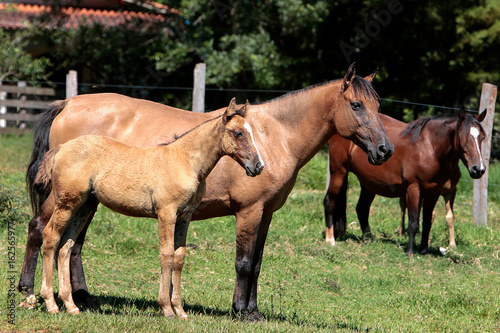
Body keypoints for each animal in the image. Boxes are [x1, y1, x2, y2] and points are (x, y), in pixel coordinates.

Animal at [34, 98, 266, 316]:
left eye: (252, 132)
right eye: (238, 133)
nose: (258, 166)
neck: (185, 161)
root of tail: (61, 148)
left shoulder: (185, 217)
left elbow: (179, 258)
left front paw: (180, 311)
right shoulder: (166, 213)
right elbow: (166, 256)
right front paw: (167, 309)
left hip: (84, 206)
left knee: (66, 246)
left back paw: (71, 305)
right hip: (66, 202)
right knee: (50, 237)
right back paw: (51, 303)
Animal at [322, 110, 486, 255]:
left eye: (482, 138)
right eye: (463, 138)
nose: (479, 169)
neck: (429, 148)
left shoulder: (433, 193)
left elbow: (427, 221)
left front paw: (424, 250)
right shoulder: (413, 189)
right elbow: (413, 222)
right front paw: (410, 251)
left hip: (368, 183)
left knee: (362, 208)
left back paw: (369, 239)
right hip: (339, 172)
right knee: (329, 201)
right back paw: (330, 240)